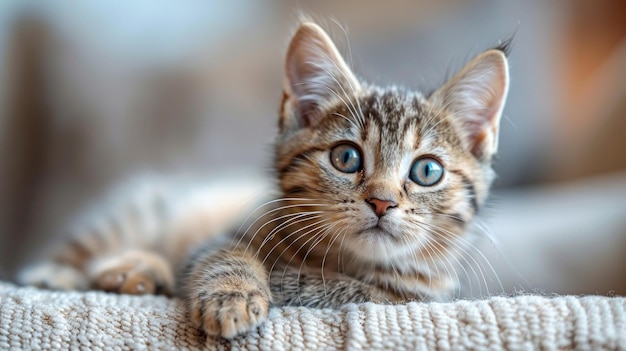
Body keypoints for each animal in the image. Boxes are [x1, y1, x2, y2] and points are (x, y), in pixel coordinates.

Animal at [18, 21, 508, 338]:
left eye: (426, 171)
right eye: (346, 157)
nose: (382, 202)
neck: (347, 262)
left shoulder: (422, 296)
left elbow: (358, 292)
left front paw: (288, 283)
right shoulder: (229, 232)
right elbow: (225, 255)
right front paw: (232, 298)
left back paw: (136, 274)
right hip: (140, 209)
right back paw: (75, 272)